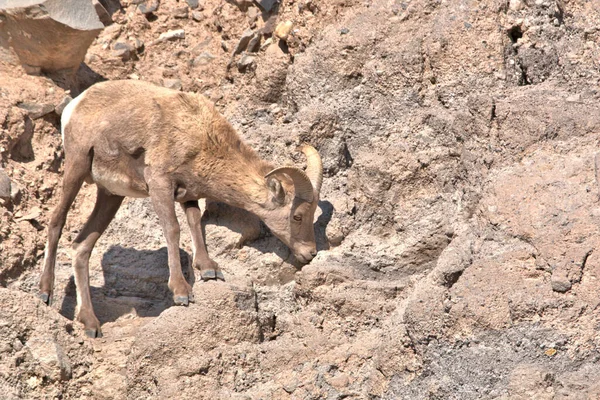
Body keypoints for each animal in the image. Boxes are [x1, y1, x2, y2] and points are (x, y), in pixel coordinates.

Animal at [38, 80, 324, 338]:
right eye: (297, 216)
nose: (310, 253)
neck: (200, 136)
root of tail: (75, 104)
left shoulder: (188, 195)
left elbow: (195, 222)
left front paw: (208, 269)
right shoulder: (159, 184)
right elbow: (173, 230)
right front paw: (181, 292)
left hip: (110, 195)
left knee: (82, 247)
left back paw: (90, 324)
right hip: (76, 168)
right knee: (56, 222)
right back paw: (45, 293)